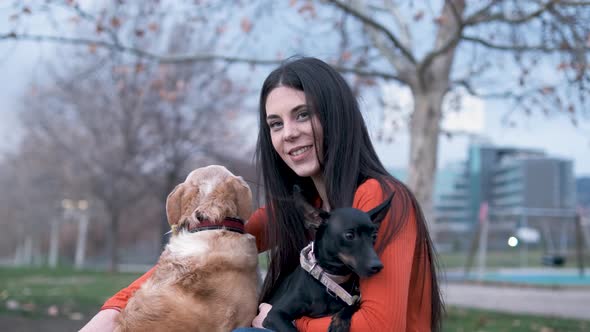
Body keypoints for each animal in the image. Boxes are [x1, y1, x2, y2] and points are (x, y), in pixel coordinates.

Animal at [262, 188, 394, 330]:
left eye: (374, 236)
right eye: (349, 235)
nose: (378, 266)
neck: (332, 280)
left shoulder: (355, 298)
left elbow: (353, 305)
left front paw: (340, 321)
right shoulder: (274, 315)